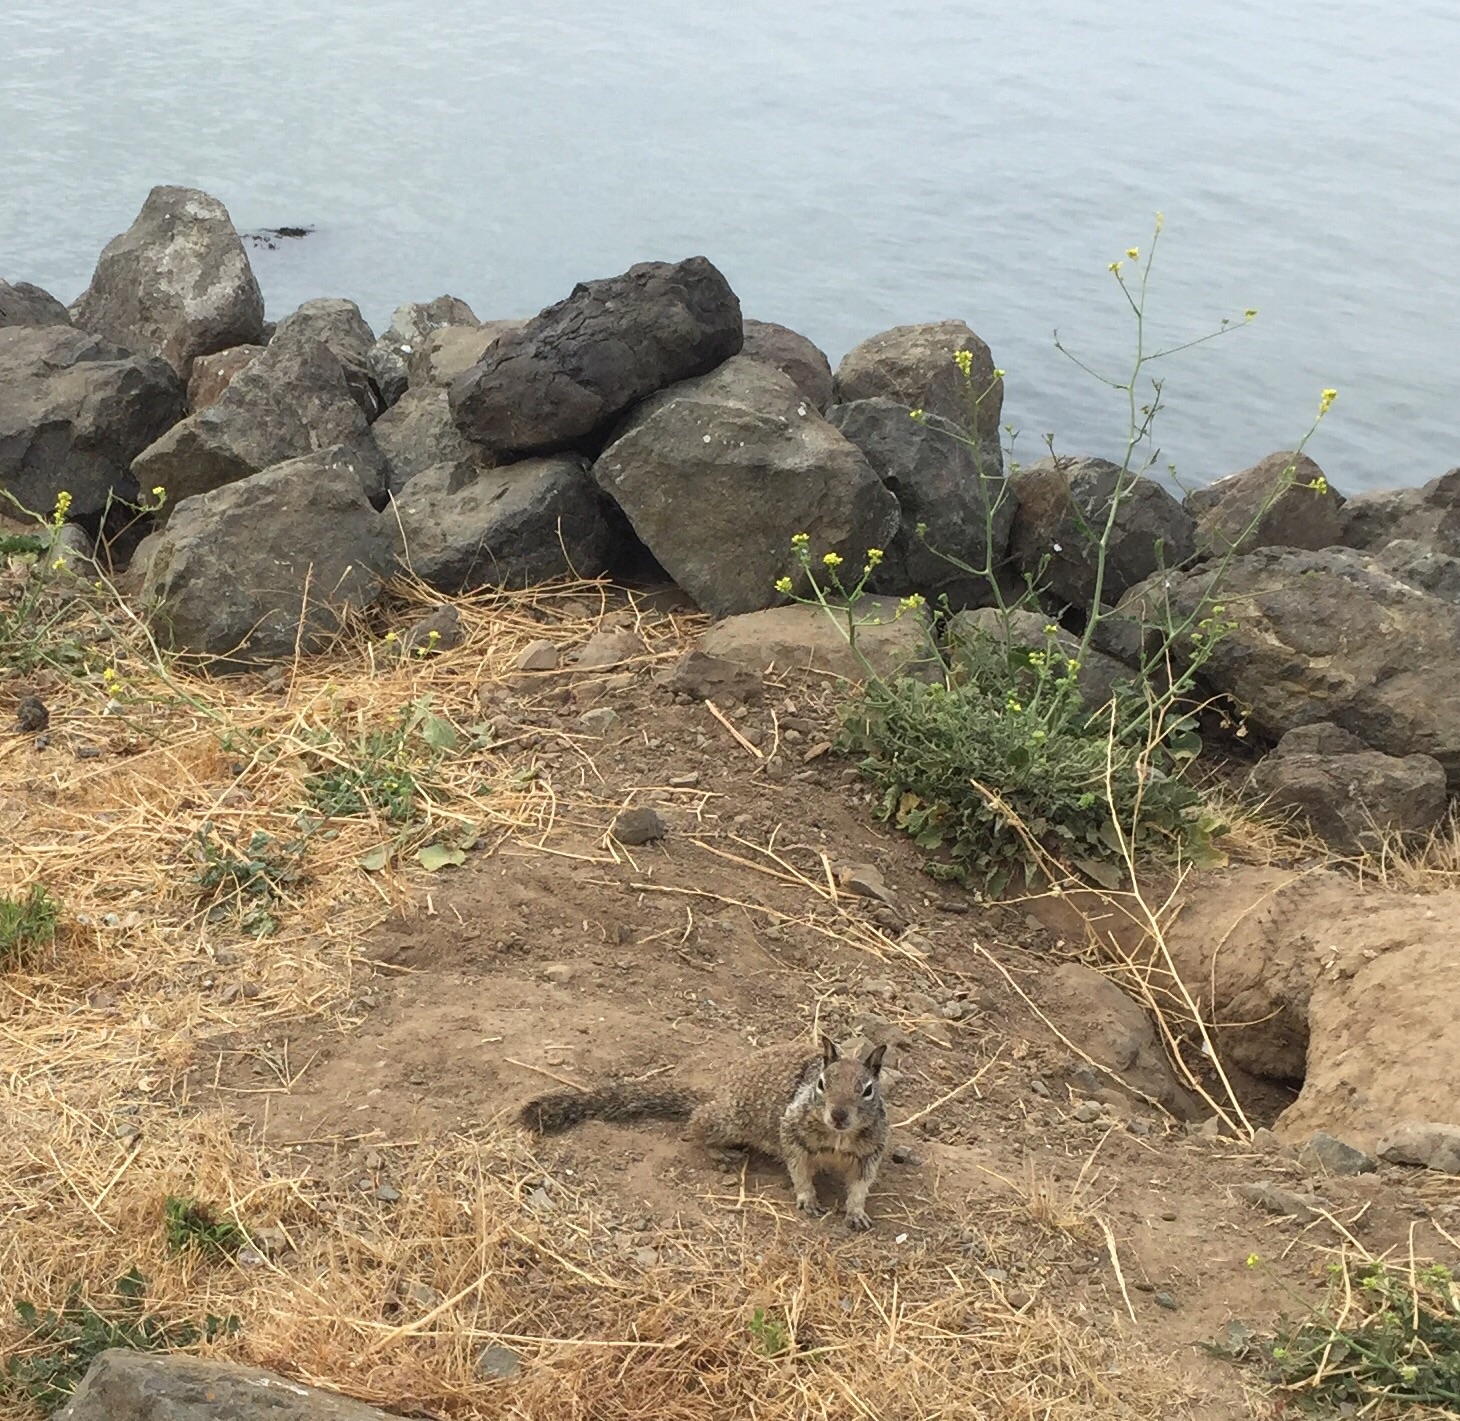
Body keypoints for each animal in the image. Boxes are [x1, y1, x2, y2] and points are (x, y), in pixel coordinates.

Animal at [519, 1035, 890, 1230]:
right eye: (822, 1084)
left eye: (868, 1090)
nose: (839, 1115)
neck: (837, 1137)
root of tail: (716, 1091)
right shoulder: (791, 1131)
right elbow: (798, 1168)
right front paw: (807, 1197)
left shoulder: (870, 1151)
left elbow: (860, 1185)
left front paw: (857, 1212)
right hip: (729, 1120)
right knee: (695, 1125)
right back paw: (720, 1151)